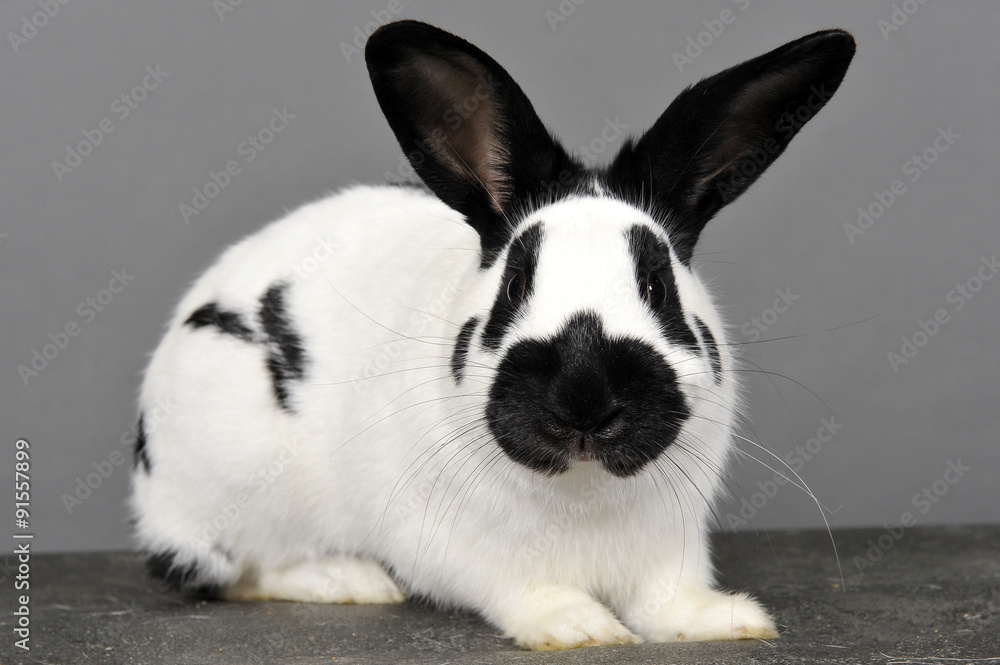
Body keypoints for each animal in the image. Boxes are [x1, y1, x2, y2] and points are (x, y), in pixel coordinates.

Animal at [129, 20, 855, 650]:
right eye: (515, 284)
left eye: (657, 285)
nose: (585, 402)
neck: (583, 487)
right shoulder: (463, 546)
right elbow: (521, 587)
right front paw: (578, 627)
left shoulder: (671, 543)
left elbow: (665, 598)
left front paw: (726, 620)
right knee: (236, 571)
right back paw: (350, 579)